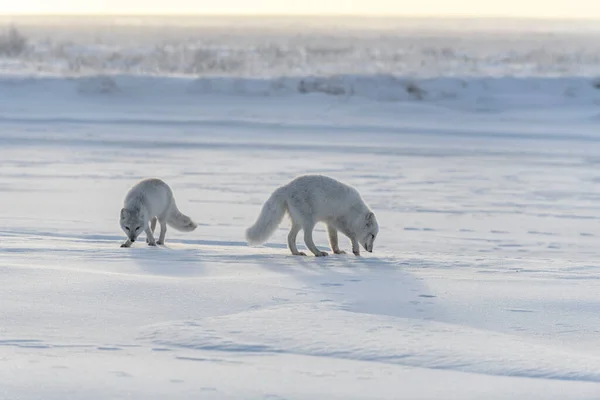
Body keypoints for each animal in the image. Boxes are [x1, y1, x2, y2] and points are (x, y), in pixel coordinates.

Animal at [245, 175, 378, 256]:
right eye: (372, 235)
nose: (371, 251)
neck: (354, 211)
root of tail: (286, 187)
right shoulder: (338, 221)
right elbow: (352, 235)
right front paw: (355, 250)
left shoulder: (330, 222)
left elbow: (333, 239)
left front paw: (337, 251)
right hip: (308, 221)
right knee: (306, 239)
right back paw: (318, 253)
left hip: (298, 221)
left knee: (290, 237)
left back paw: (297, 253)